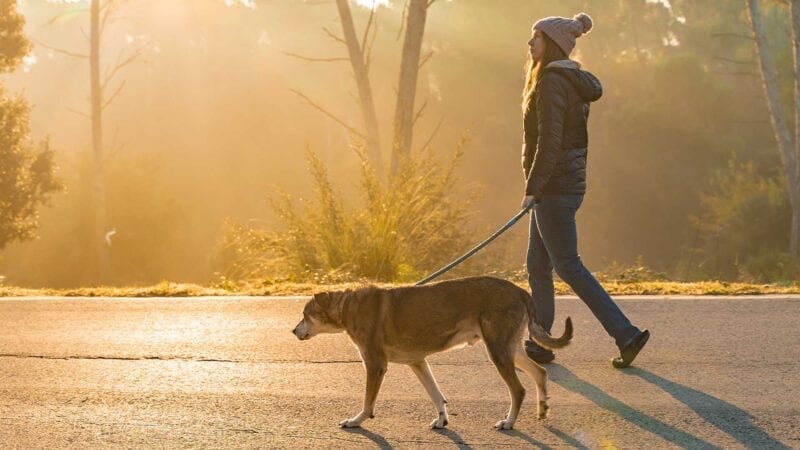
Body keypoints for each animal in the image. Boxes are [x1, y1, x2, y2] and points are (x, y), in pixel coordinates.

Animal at [290, 274, 572, 428]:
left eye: (305, 314)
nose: (293, 331)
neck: (347, 306)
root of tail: (521, 290)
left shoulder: (375, 365)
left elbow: (368, 400)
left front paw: (357, 420)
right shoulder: (418, 362)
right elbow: (436, 395)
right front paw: (441, 419)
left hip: (498, 351)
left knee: (519, 389)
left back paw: (509, 422)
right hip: (509, 348)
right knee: (540, 372)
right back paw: (542, 410)